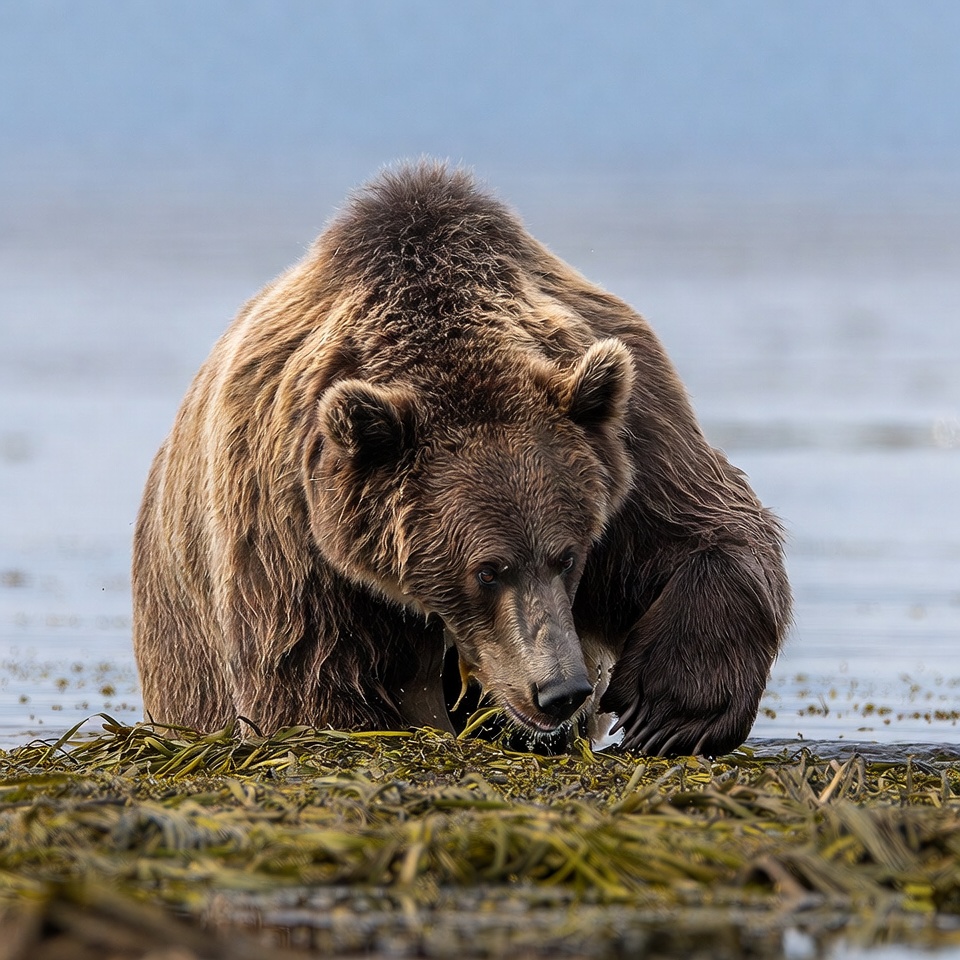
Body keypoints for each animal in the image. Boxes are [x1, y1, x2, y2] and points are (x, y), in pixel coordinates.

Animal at [132, 162, 791, 757]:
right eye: (487, 570)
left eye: (567, 556)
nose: (561, 691)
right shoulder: (290, 519)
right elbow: (308, 678)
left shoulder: (629, 433)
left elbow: (706, 531)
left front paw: (667, 714)